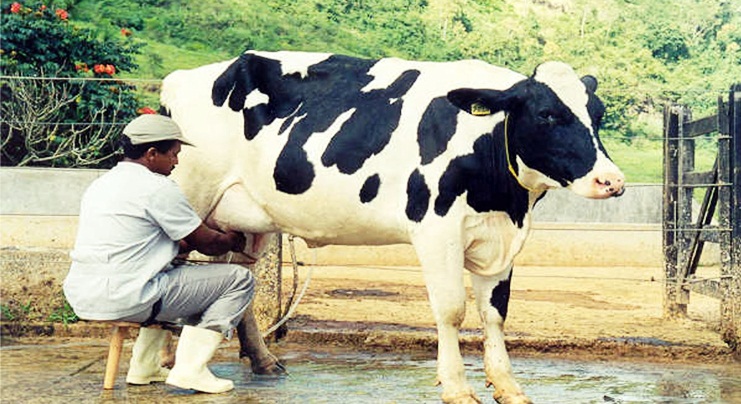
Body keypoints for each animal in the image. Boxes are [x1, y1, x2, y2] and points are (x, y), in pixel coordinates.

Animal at [162, 50, 624, 404]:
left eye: (598, 114)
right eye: (547, 114)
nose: (612, 181)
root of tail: (182, 79)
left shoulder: (500, 236)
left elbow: (495, 314)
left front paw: (509, 387)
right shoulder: (437, 230)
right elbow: (452, 310)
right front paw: (457, 388)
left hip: (244, 219)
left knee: (239, 276)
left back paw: (262, 361)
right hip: (190, 195)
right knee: (174, 264)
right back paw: (167, 362)